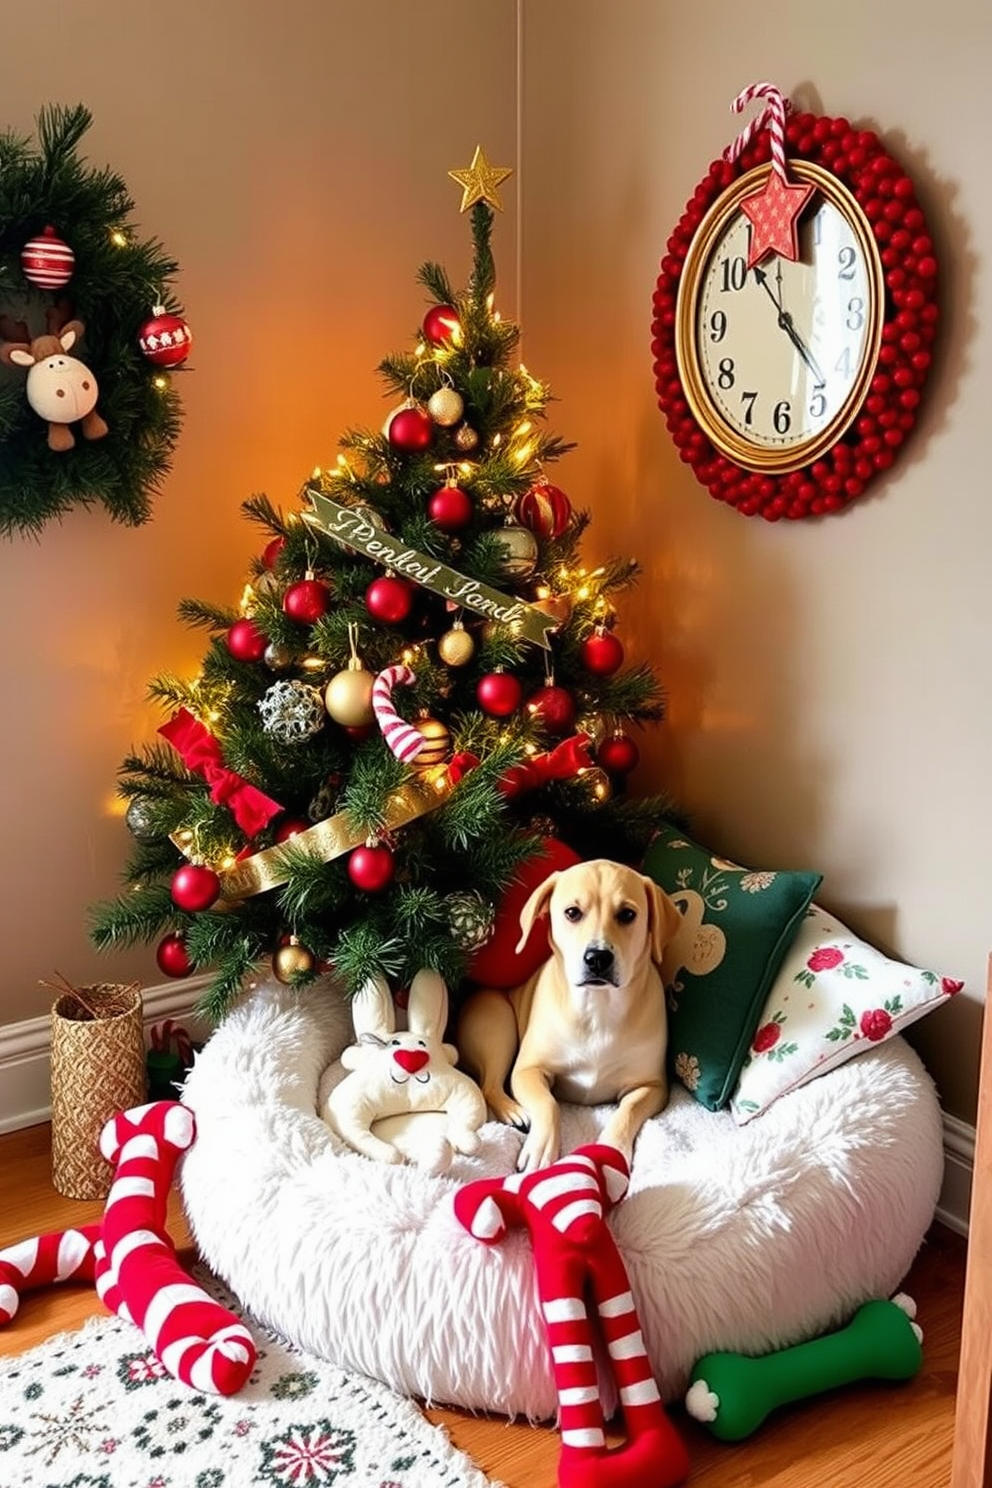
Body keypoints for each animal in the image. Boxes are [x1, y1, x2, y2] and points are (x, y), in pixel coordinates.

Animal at [458, 863, 684, 1172]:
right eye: (572, 912)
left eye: (627, 914)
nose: (598, 958)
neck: (597, 1009)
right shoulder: (528, 1070)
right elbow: (548, 1103)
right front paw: (541, 1147)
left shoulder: (653, 1085)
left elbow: (628, 1110)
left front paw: (612, 1147)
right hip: (496, 1021)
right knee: (490, 1085)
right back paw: (514, 1111)